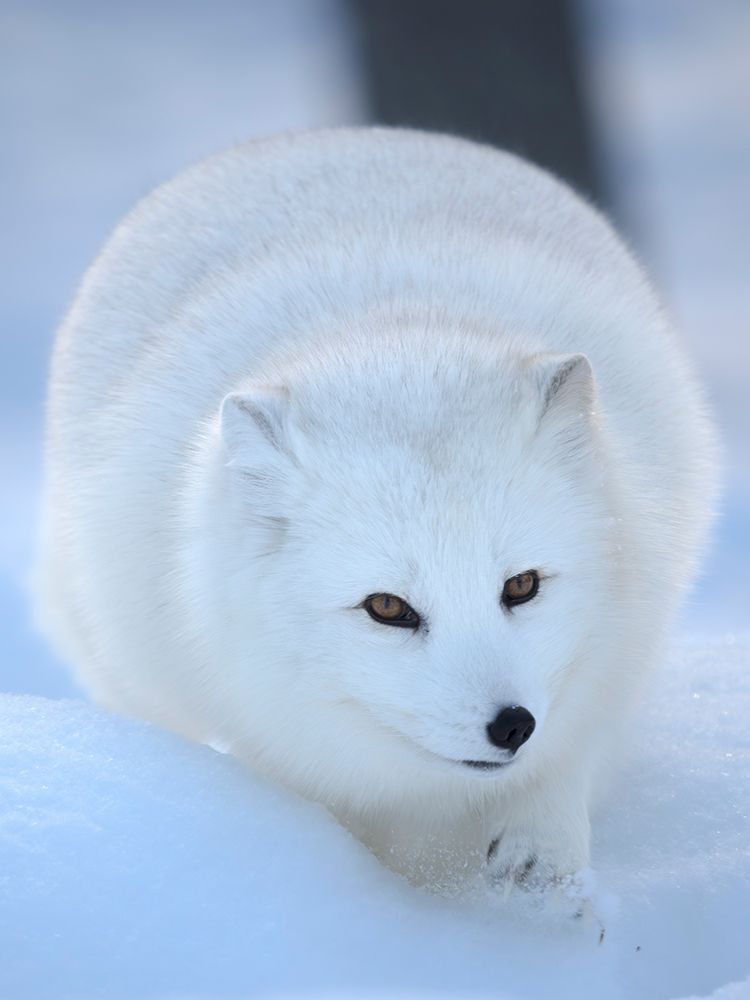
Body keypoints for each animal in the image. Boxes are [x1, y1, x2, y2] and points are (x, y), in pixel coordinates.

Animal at [36, 127, 717, 901]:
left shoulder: (620, 654)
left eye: (522, 587)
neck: (391, 330)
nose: (512, 727)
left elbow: (566, 765)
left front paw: (541, 862)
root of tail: (329, 137)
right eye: (387, 608)